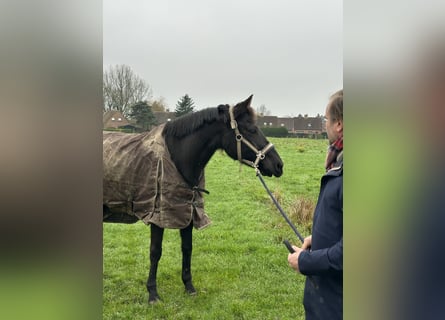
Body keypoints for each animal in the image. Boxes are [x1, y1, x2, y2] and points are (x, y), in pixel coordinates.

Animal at [103, 94, 282, 302]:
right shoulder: (158, 215)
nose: (279, 165)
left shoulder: (188, 212)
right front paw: (153, 293)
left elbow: (187, 248)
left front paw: (189, 286)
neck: (177, 156)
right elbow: (155, 252)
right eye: (251, 129)